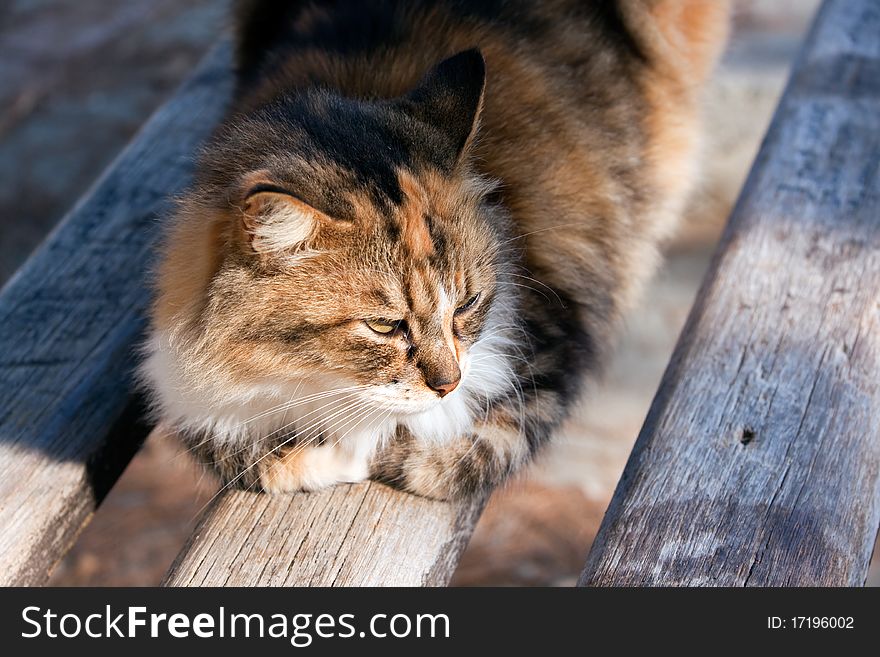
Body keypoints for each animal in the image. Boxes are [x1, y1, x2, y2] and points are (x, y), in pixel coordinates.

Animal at [143, 0, 728, 500]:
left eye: (466, 304)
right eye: (384, 326)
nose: (448, 385)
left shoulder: (548, 342)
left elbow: (445, 460)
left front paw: (371, 452)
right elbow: (244, 450)